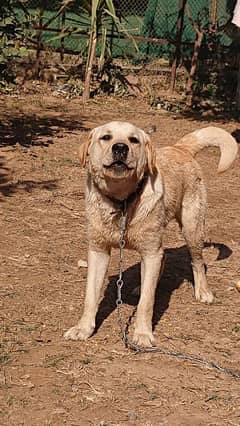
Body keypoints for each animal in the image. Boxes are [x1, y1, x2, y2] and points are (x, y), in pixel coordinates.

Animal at [64, 121, 238, 348]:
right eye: (106, 137)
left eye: (133, 140)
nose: (120, 148)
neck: (122, 201)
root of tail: (179, 147)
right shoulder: (98, 251)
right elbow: (90, 297)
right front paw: (83, 328)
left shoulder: (150, 252)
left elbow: (146, 303)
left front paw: (143, 334)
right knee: (162, 261)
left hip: (191, 228)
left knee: (197, 262)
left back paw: (203, 292)